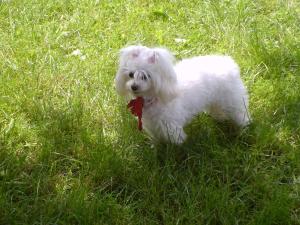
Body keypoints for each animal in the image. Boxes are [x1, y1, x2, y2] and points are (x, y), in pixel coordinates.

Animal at [113, 45, 250, 144]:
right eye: (131, 74)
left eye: (145, 76)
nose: (133, 86)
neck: (156, 96)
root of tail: (228, 63)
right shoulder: (152, 126)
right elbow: (156, 140)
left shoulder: (171, 126)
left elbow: (176, 142)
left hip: (232, 99)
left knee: (240, 112)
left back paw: (244, 126)